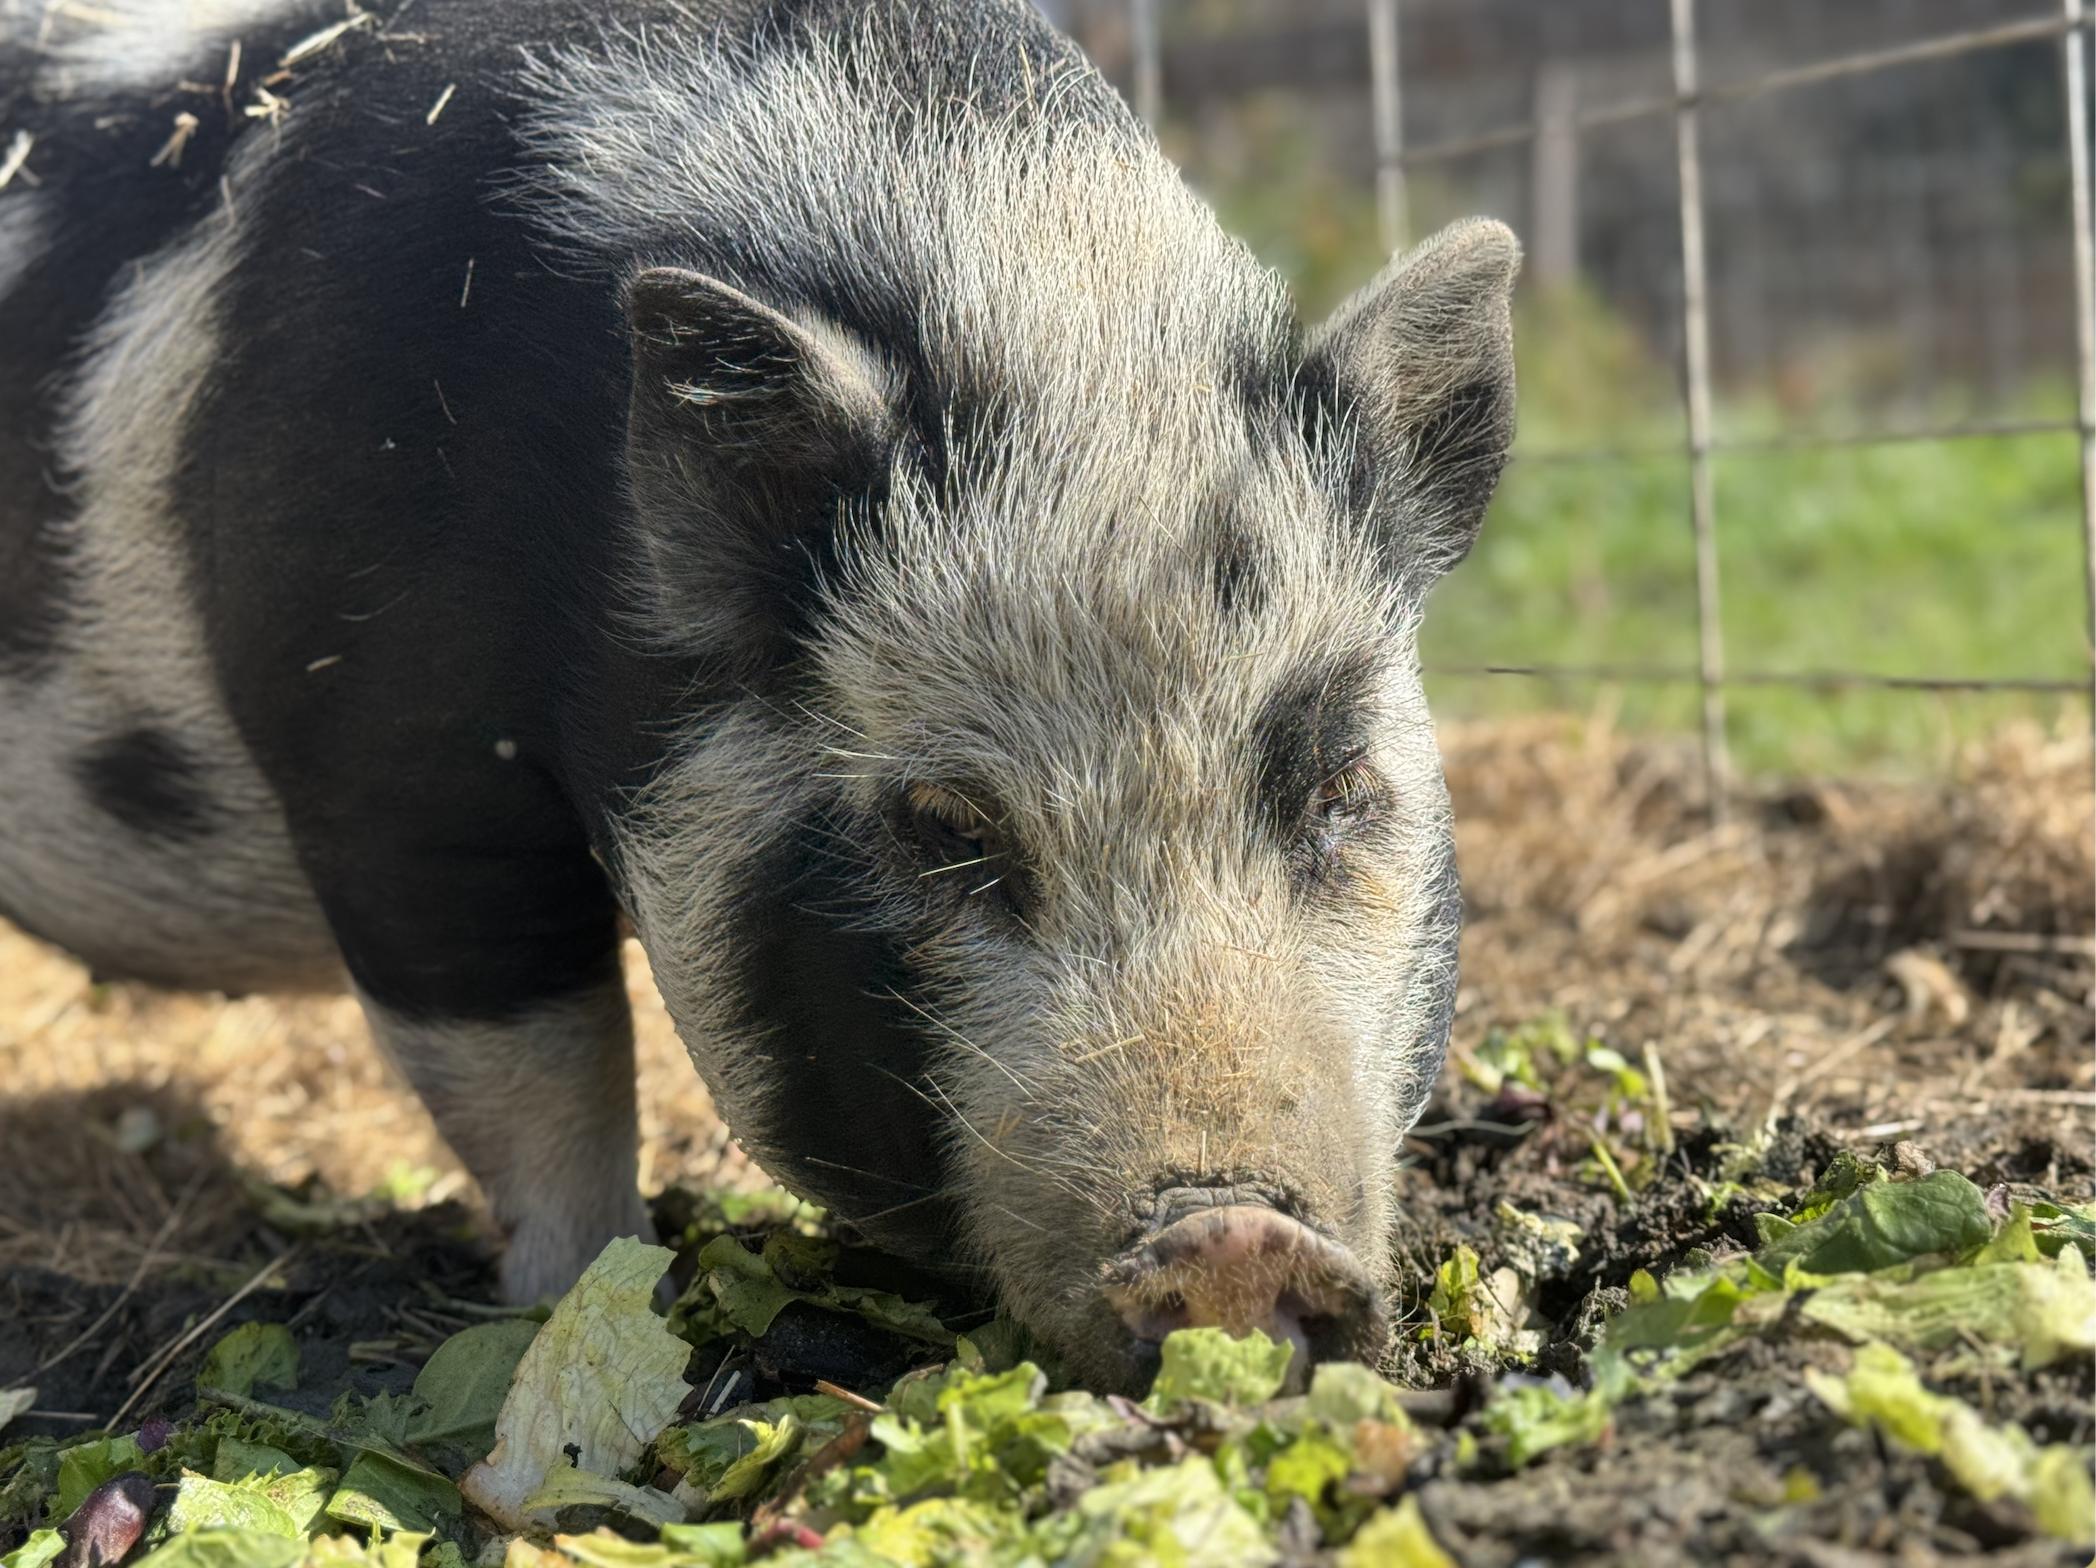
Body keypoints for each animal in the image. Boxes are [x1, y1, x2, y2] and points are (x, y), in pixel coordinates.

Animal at [0, 0, 1516, 1391]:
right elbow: (540, 1080)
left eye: (1337, 785)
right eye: (944, 824)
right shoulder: (393, 774)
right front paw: (597, 1299)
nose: (1233, 1242)